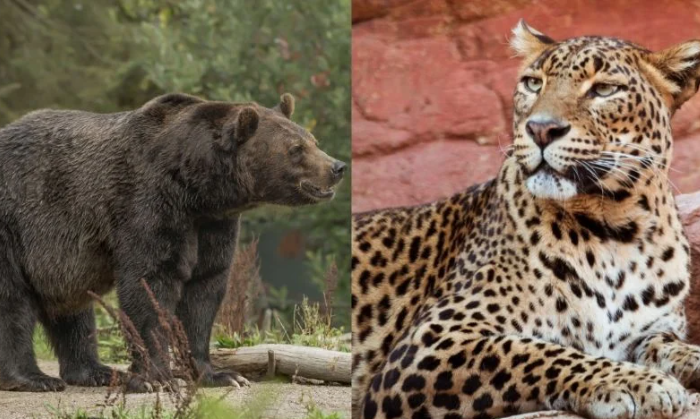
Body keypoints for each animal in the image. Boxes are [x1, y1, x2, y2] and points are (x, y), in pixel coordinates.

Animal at [0, 92, 346, 392]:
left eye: (312, 141)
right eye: (296, 148)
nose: (337, 167)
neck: (195, 187)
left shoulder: (212, 225)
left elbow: (203, 291)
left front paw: (219, 374)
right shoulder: (148, 205)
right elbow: (150, 285)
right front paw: (155, 378)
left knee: (73, 310)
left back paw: (95, 371)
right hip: (16, 223)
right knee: (13, 302)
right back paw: (33, 378)